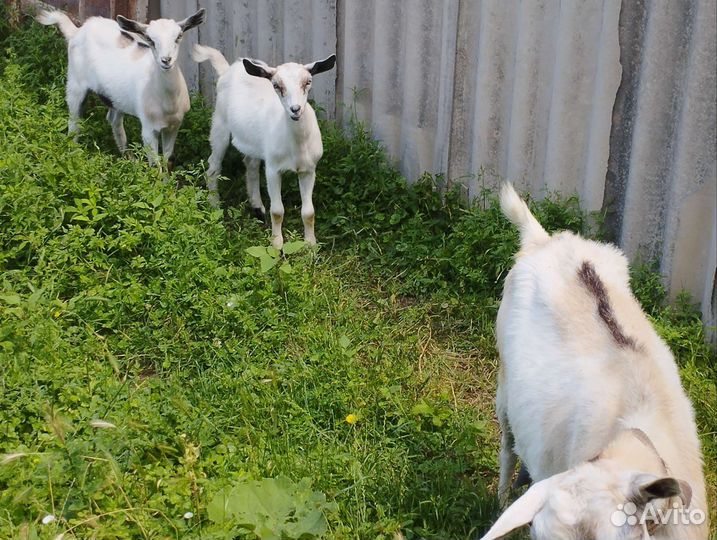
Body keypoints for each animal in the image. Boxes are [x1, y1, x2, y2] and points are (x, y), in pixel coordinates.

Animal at [36, 8, 205, 164]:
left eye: (179, 36)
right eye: (150, 39)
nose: (166, 60)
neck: (168, 102)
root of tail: (77, 31)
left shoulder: (174, 126)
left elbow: (167, 159)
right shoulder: (148, 129)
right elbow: (155, 165)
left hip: (116, 98)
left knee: (113, 119)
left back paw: (129, 159)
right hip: (75, 83)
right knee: (74, 121)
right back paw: (74, 155)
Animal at [192, 44, 336, 249]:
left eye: (308, 82)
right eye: (276, 85)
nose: (295, 109)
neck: (297, 146)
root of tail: (228, 69)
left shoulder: (309, 170)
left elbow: (309, 212)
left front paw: (311, 245)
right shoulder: (273, 169)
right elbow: (277, 211)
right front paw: (276, 245)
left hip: (254, 143)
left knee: (250, 164)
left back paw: (258, 208)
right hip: (220, 123)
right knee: (213, 166)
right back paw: (214, 206)